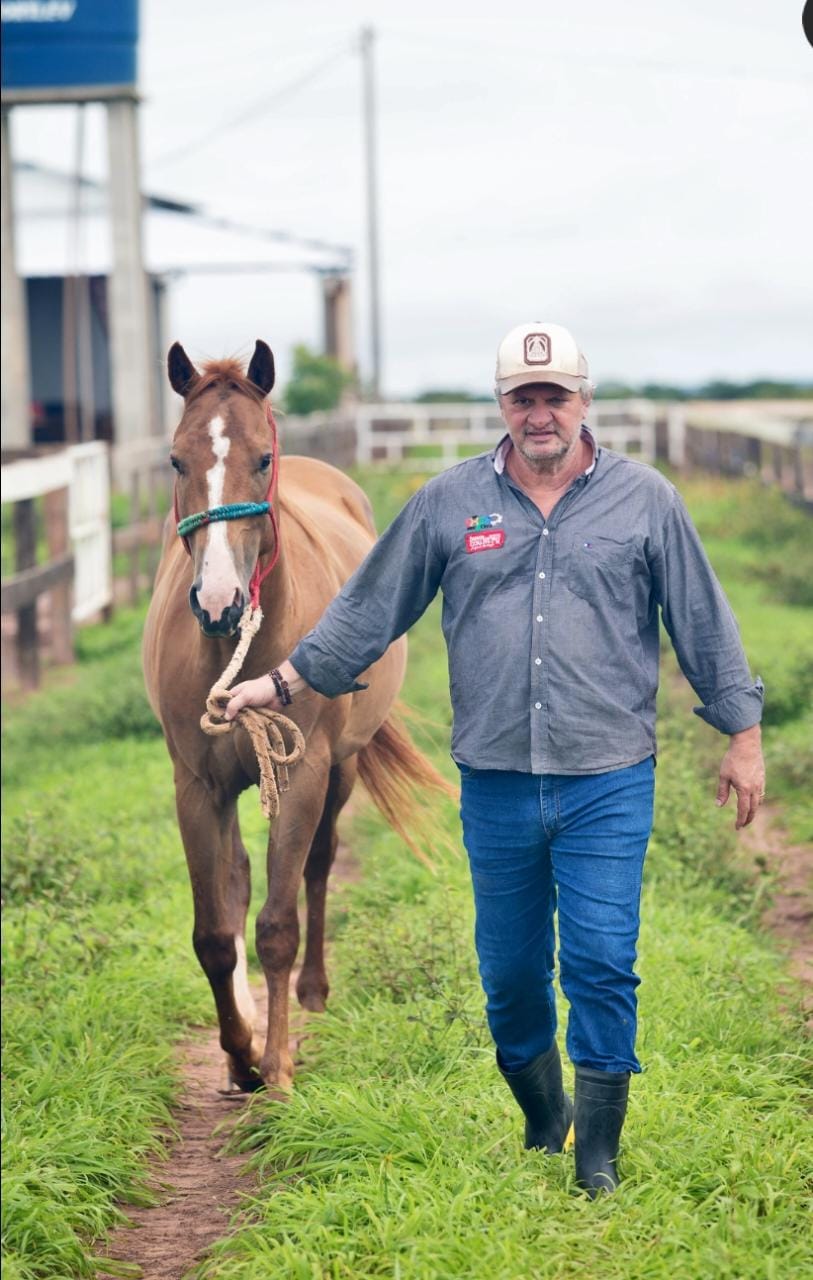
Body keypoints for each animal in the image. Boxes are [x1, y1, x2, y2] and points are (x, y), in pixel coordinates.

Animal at [146, 337, 450, 1090]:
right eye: (176, 460)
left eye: (261, 458)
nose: (217, 601)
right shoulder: (197, 787)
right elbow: (215, 933)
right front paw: (240, 1053)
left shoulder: (304, 775)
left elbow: (278, 925)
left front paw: (278, 1067)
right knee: (238, 883)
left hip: (340, 770)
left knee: (318, 865)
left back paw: (313, 992)